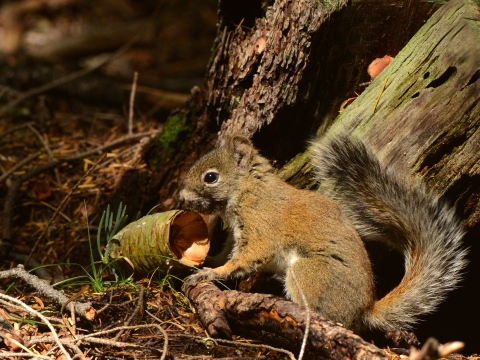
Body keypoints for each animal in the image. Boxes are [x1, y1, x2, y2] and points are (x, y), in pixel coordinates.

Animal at [176, 131, 464, 332]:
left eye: (210, 177)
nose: (180, 197)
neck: (248, 189)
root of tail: (363, 311)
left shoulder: (261, 228)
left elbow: (243, 259)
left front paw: (210, 273)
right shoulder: (236, 232)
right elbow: (227, 251)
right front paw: (208, 260)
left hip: (309, 273)